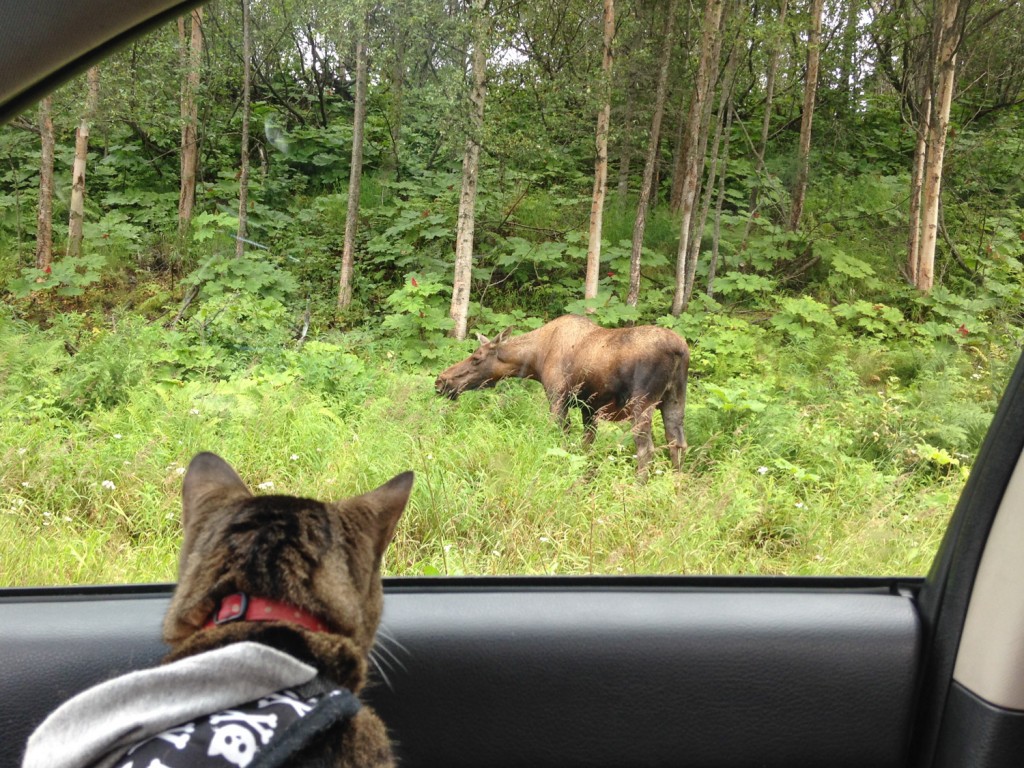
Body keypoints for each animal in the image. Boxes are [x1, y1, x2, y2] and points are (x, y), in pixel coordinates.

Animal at [436, 313, 692, 475]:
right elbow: (586, 446)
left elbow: (558, 438)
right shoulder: (589, 407)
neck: (534, 361)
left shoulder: (558, 398)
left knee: (645, 449)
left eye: (476, 358)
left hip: (642, 402)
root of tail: (679, 350)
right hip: (675, 398)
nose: (441, 380)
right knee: (677, 443)